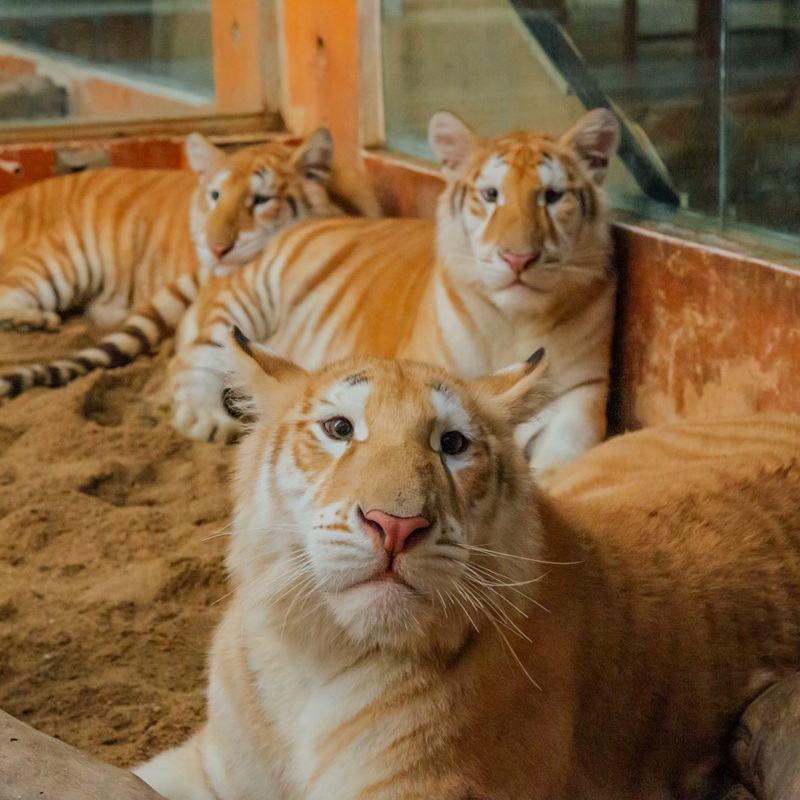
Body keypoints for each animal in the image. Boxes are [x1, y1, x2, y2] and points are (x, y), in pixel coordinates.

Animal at [165, 108, 620, 476]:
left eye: (552, 196)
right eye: (491, 195)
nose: (518, 258)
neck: (515, 319)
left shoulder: (583, 393)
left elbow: (568, 448)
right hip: (246, 299)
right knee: (193, 358)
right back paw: (205, 418)